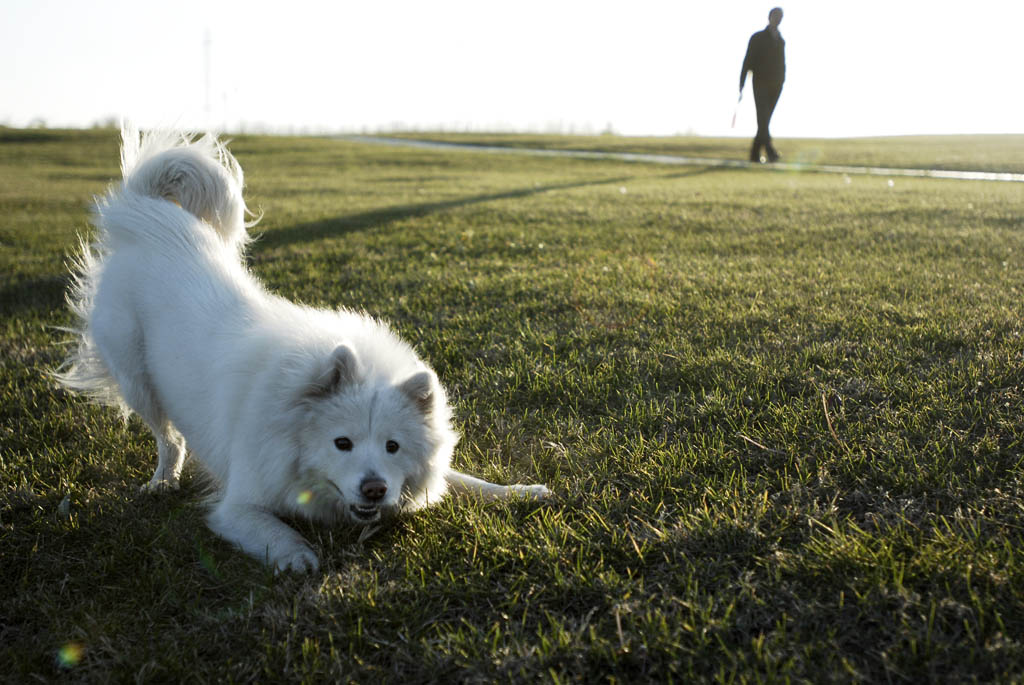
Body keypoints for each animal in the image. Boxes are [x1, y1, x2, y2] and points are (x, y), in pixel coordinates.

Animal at [58, 126, 552, 573]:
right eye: (342, 443)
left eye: (392, 446)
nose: (375, 489)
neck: (286, 422)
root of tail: (152, 217)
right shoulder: (238, 506)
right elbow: (273, 530)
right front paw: (298, 557)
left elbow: (464, 479)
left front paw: (518, 493)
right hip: (137, 380)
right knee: (168, 439)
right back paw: (162, 482)